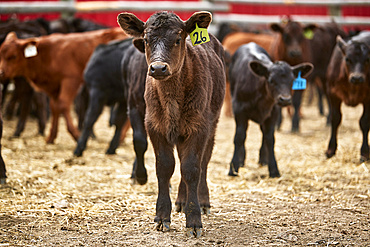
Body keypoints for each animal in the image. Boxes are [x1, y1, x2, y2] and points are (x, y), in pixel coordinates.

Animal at [118, 11, 225, 237]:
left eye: (177, 39)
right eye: (146, 40)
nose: (158, 68)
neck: (171, 97)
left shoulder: (198, 126)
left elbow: (191, 168)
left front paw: (194, 220)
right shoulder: (154, 125)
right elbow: (165, 167)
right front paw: (161, 217)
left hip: (212, 123)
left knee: (204, 160)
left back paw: (202, 201)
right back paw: (181, 201)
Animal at [228, 42, 312, 178]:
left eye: (292, 80)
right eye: (271, 80)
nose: (285, 99)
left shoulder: (273, 113)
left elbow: (270, 139)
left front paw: (273, 168)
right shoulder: (239, 110)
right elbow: (239, 136)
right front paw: (234, 167)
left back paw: (263, 159)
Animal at [326, 31, 370, 161]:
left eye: (368, 59)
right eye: (347, 59)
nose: (357, 77)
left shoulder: (368, 99)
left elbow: (364, 122)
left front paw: (365, 153)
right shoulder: (333, 95)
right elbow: (335, 119)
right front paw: (330, 149)